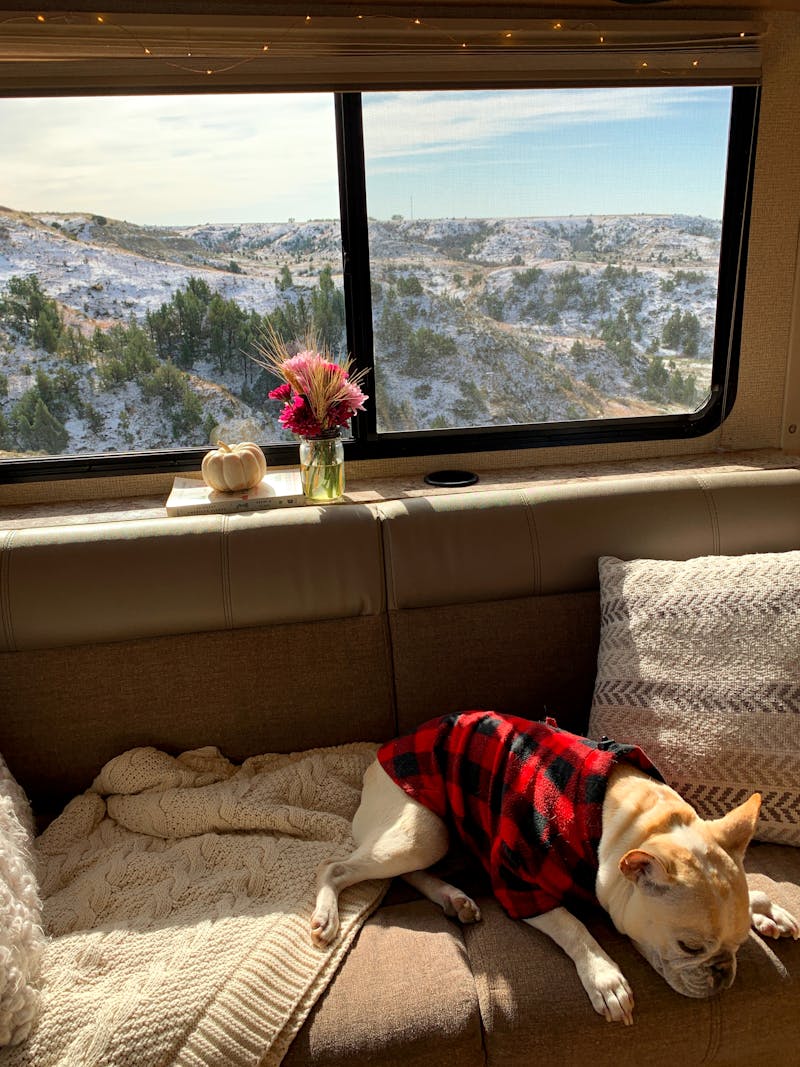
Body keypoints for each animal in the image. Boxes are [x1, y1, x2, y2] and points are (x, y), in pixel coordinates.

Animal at [309, 712, 797, 1020]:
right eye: (690, 948)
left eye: (738, 943)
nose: (723, 975)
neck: (636, 823)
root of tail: (378, 759)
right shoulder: (520, 881)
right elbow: (572, 925)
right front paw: (604, 977)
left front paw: (766, 908)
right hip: (422, 833)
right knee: (337, 867)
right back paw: (327, 914)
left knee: (409, 873)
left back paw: (454, 898)